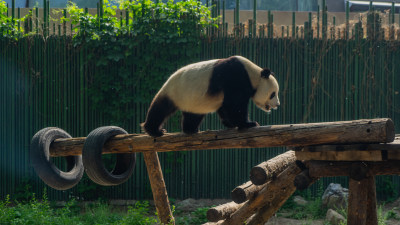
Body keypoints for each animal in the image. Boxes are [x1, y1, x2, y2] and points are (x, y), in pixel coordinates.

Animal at [142, 56, 280, 137]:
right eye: (273, 94)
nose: (277, 104)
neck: (253, 75)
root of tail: (168, 81)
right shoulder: (236, 77)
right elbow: (235, 105)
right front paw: (248, 123)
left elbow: (225, 107)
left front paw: (230, 124)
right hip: (175, 92)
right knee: (160, 109)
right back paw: (154, 130)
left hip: (192, 100)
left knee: (193, 115)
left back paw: (190, 129)